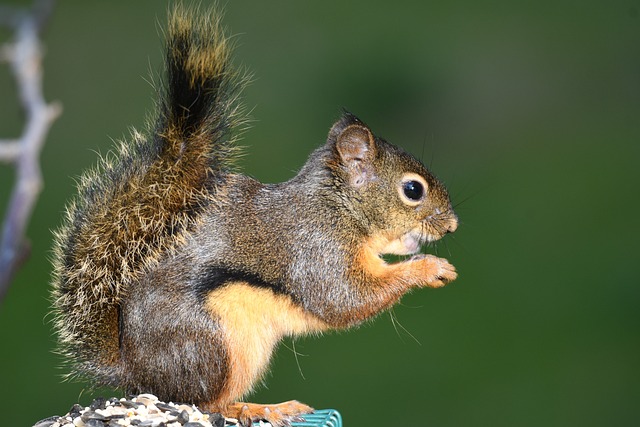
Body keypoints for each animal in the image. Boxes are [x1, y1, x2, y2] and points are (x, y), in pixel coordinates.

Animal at [50, 4, 460, 427]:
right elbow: (345, 299)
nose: (452, 225)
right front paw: (428, 268)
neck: (336, 207)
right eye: (413, 190)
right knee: (206, 403)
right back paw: (263, 408)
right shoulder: (316, 250)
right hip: (214, 345)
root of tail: (135, 372)